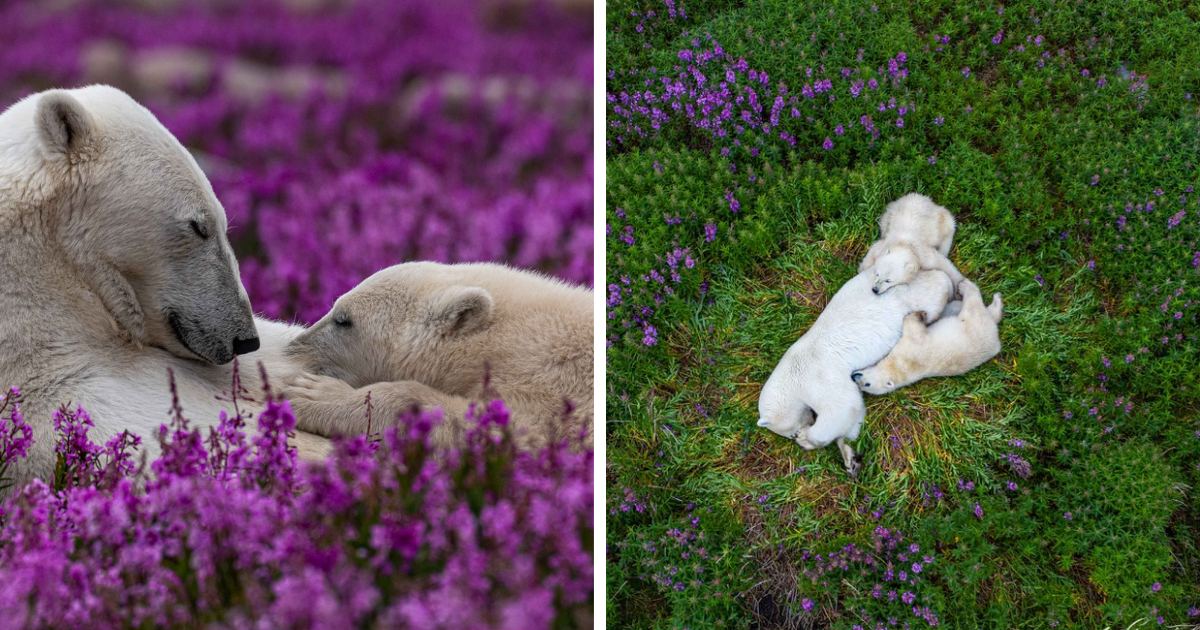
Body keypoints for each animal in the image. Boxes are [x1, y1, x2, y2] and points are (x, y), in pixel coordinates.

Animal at [757, 269, 954, 476]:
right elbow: (854, 414)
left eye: (791, 433)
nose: (795, 436)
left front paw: (806, 439)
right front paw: (851, 459)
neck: (790, 376)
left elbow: (842, 406)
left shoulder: (815, 376)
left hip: (918, 297)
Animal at [853, 279, 1003, 394]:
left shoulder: (910, 349)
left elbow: (913, 327)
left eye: (867, 384)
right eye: (863, 387)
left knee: (973, 305)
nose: (853, 376)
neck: (902, 369)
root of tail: (995, 338)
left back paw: (966, 286)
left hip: (974, 325)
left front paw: (920, 314)